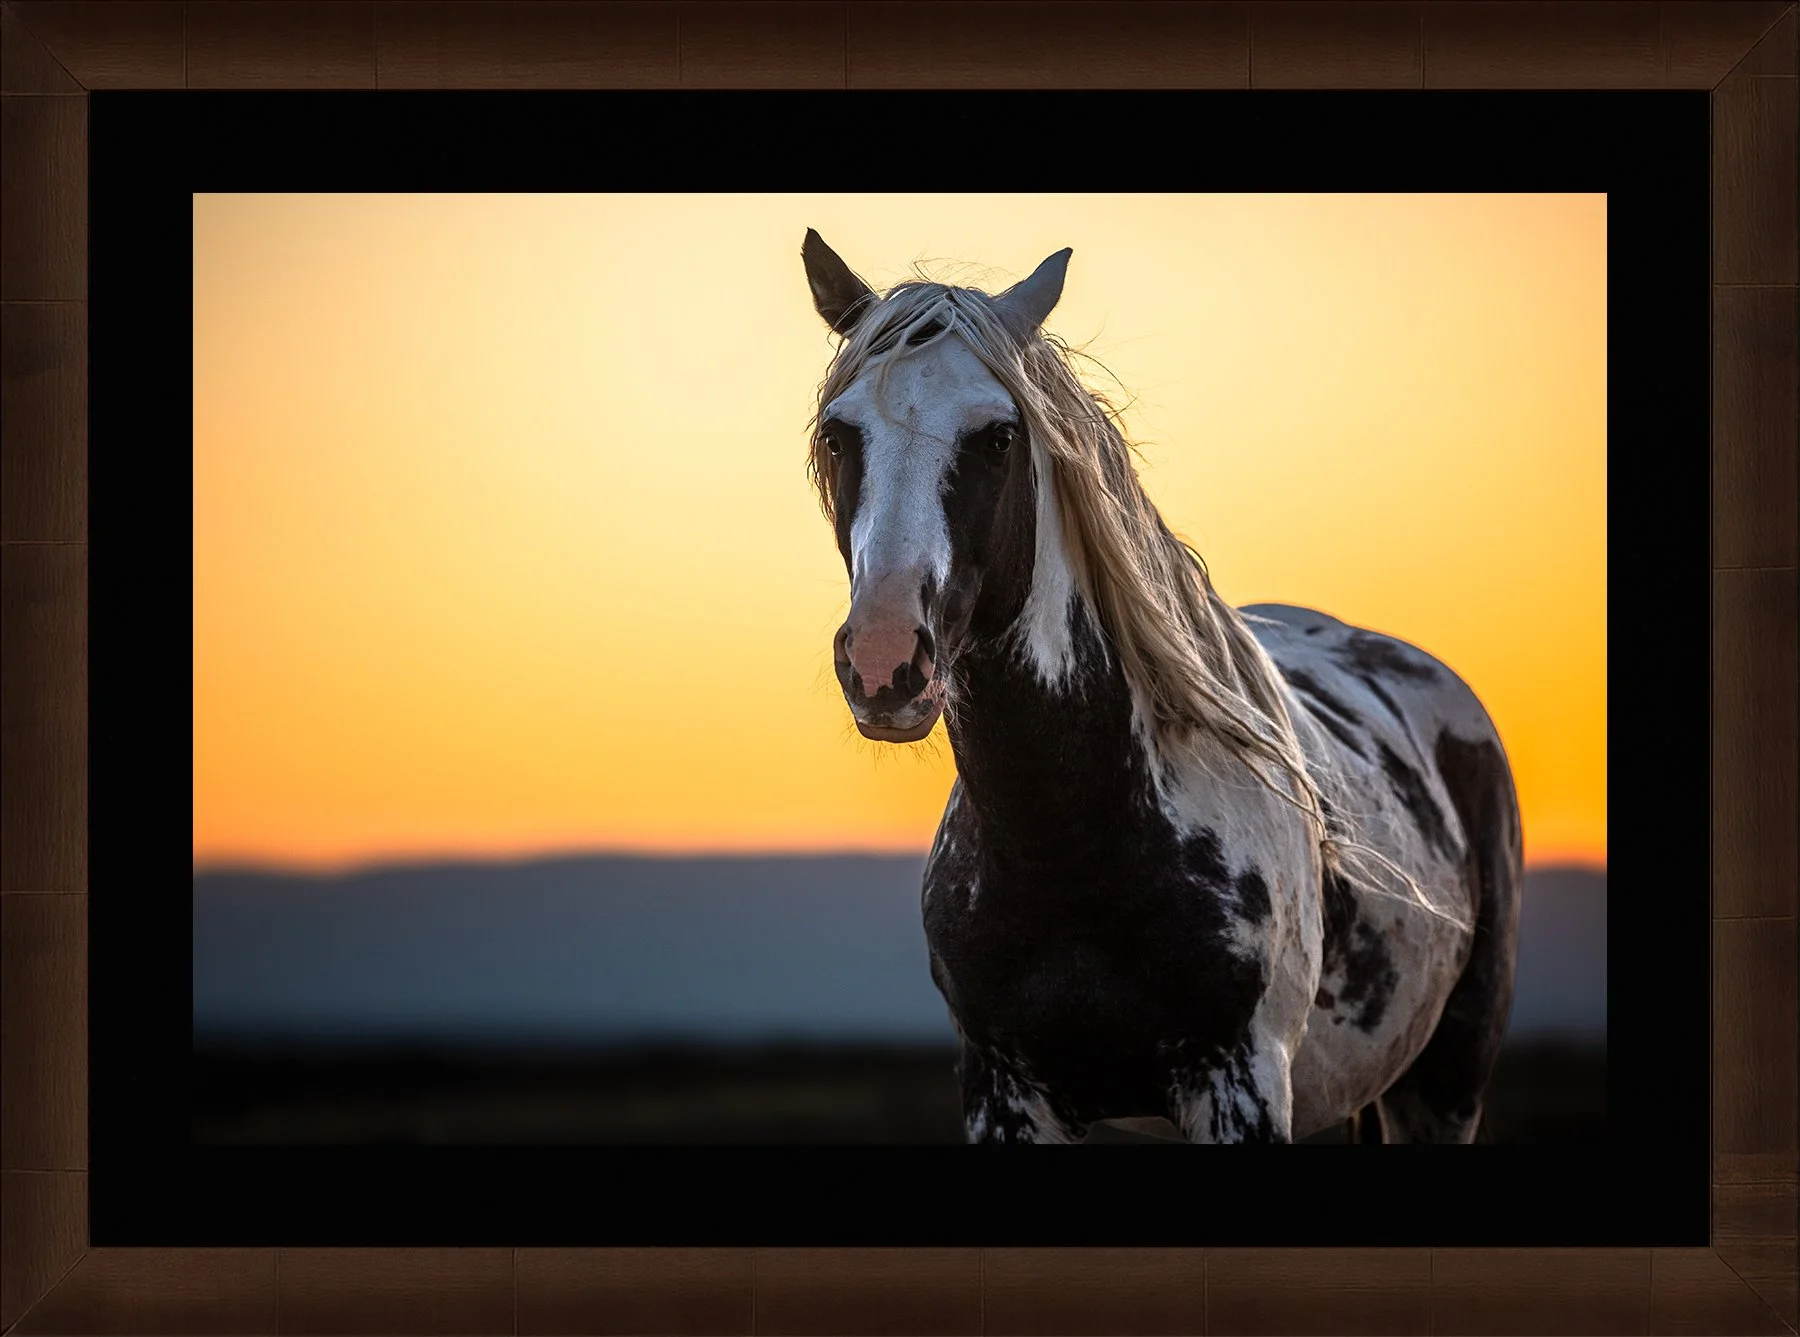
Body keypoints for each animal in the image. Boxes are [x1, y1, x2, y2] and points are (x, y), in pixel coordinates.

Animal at [798, 230, 1523, 1144]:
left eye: (1000, 436)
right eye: (837, 435)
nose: (887, 658)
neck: (1070, 842)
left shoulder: (1240, 1085)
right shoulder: (1005, 1094)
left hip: (1446, 1078)